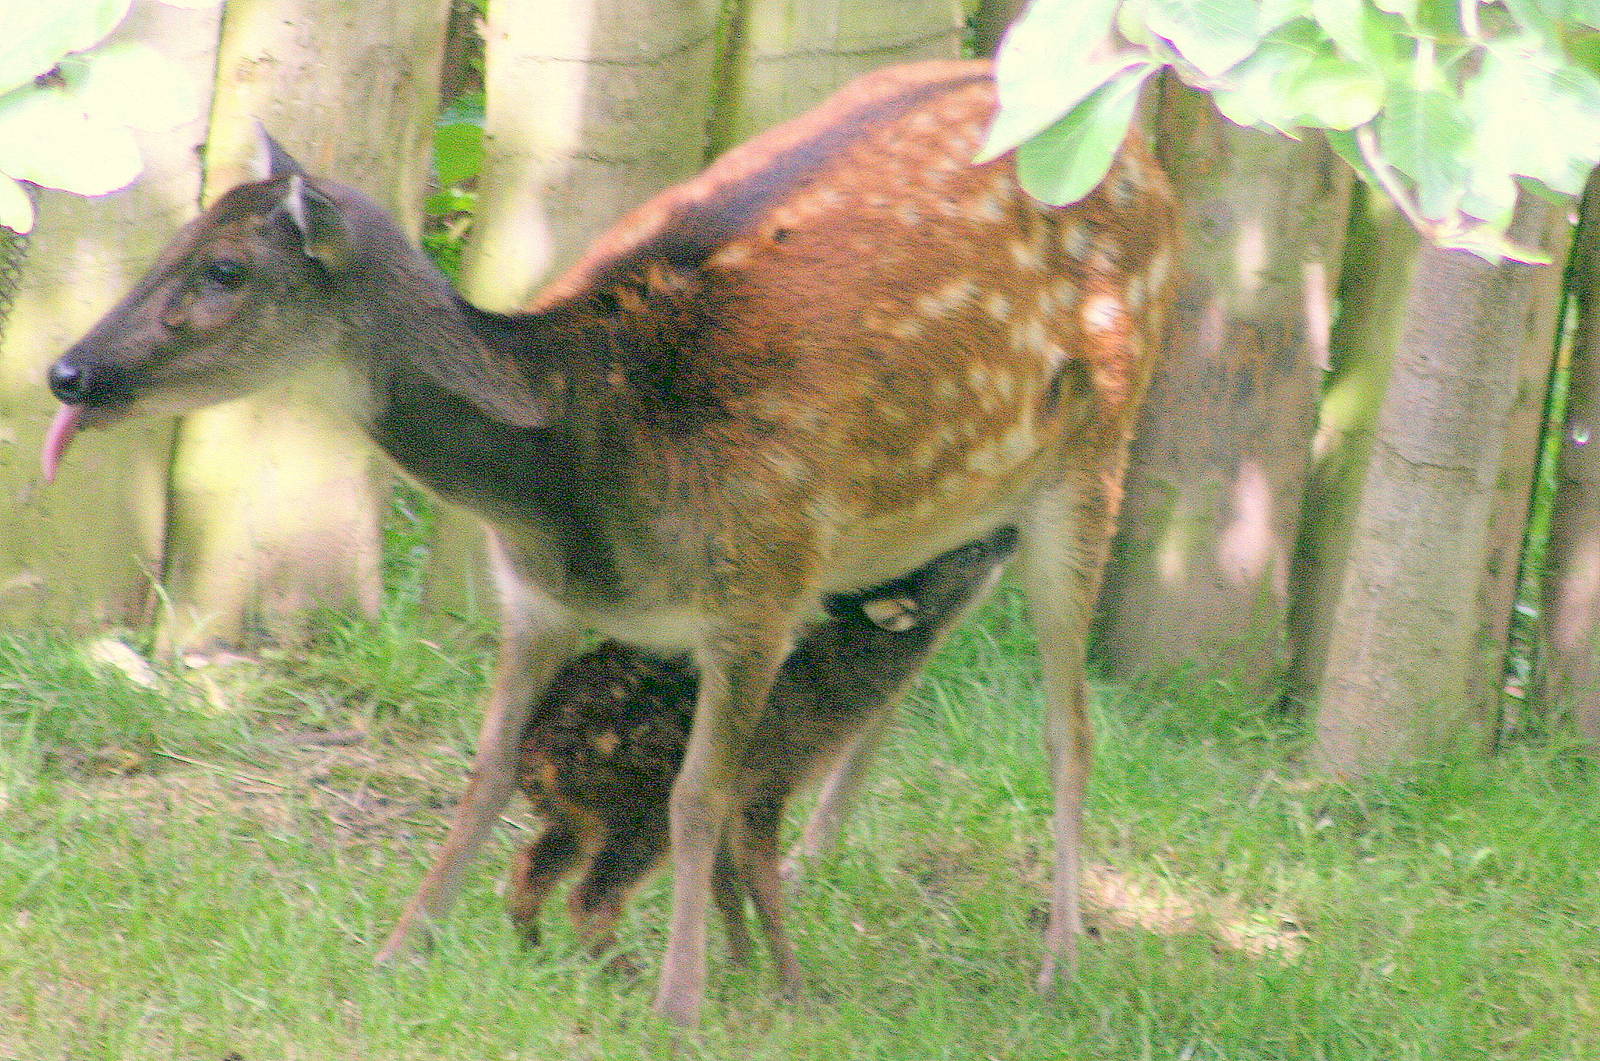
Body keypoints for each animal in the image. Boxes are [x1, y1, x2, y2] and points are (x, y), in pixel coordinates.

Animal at [506, 528, 1017, 988]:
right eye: (968, 553)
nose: (1009, 532)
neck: (830, 690)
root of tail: (532, 761)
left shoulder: (723, 800)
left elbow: (725, 888)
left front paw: (741, 967)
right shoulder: (765, 784)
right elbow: (766, 892)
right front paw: (793, 990)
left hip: (587, 816)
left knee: (529, 867)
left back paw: (535, 954)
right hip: (640, 811)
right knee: (589, 898)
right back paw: (628, 978)